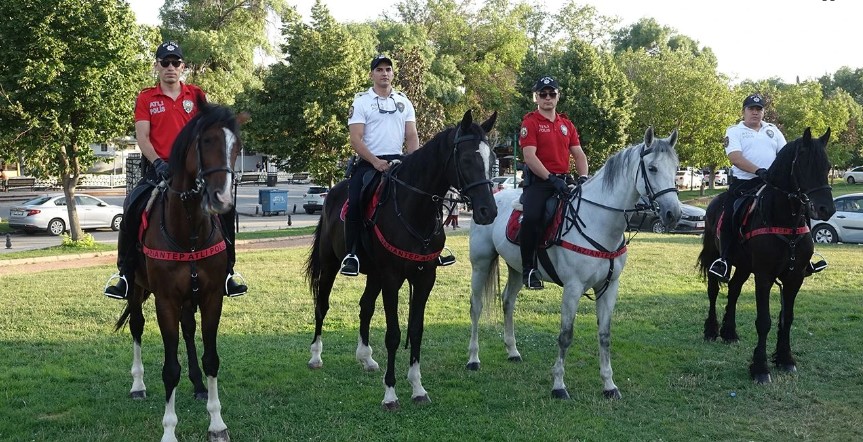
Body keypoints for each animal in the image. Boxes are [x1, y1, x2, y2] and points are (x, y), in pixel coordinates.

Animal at [113, 102, 243, 440]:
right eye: (206, 141)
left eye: (236, 146)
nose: (222, 199)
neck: (190, 232)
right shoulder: (166, 301)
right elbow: (170, 368)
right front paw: (169, 430)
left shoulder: (211, 297)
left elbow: (211, 358)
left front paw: (217, 422)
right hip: (137, 289)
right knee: (137, 327)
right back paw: (138, 384)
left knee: (188, 330)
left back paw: (197, 385)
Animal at [308, 109, 500, 410]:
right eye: (467, 158)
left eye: (492, 160)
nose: (487, 211)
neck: (414, 209)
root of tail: (331, 195)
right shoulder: (392, 278)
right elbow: (394, 335)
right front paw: (390, 393)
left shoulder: (424, 278)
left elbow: (416, 330)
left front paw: (418, 388)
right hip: (330, 265)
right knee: (322, 305)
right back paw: (316, 355)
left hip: (373, 274)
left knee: (365, 307)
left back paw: (366, 357)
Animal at [466, 126, 680, 398]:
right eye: (652, 168)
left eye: (676, 167)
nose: (674, 214)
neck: (597, 220)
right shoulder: (573, 288)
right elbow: (565, 335)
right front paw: (559, 385)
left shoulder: (609, 288)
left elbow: (604, 335)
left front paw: (609, 385)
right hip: (481, 264)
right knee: (476, 307)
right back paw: (473, 359)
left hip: (517, 268)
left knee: (508, 302)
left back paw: (512, 351)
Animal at [700, 127, 832, 384]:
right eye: (804, 165)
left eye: (828, 166)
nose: (826, 210)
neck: (785, 220)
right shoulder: (764, 276)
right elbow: (764, 321)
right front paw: (760, 368)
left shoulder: (794, 277)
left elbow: (787, 318)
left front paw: (785, 359)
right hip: (714, 257)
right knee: (713, 291)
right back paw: (711, 330)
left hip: (743, 266)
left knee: (734, 290)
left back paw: (729, 332)